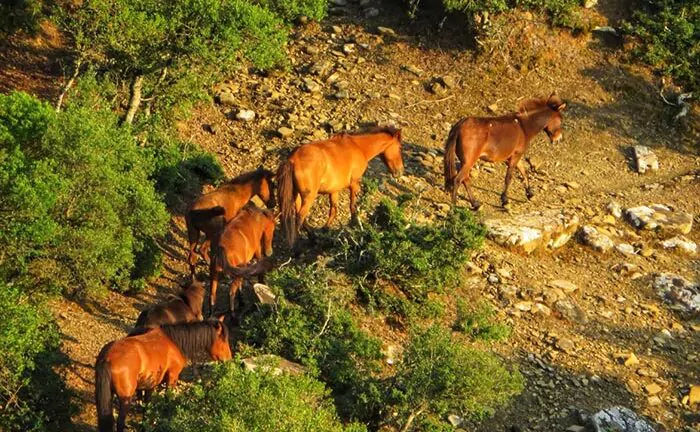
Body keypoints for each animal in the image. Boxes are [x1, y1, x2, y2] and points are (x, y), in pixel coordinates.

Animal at [94, 318, 231, 432]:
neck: (174, 342)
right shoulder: (172, 377)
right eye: (223, 340)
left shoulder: (150, 385)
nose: (229, 360)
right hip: (125, 399)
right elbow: (167, 402)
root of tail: (107, 358)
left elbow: (147, 406)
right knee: (120, 423)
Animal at [274, 125, 402, 246]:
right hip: (308, 197)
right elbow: (352, 206)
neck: (358, 147)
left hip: (296, 196)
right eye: (400, 148)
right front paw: (354, 224)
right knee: (299, 218)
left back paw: (313, 237)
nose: (400, 172)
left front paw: (326, 229)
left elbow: (333, 211)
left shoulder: (334, 191)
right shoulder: (354, 184)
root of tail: (293, 160)